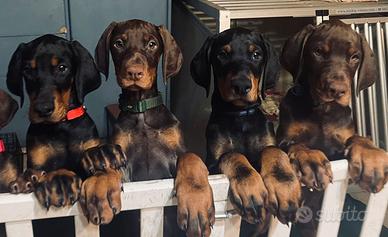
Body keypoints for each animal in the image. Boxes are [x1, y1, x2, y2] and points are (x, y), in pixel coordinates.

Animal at [80, 19, 214, 236]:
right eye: (118, 43)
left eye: (152, 44)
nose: (134, 72)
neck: (141, 109)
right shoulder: (124, 159)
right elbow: (110, 159)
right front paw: (100, 185)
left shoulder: (176, 151)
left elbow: (190, 156)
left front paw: (195, 199)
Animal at [192, 27, 302, 235]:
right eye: (222, 54)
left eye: (256, 54)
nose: (241, 85)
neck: (239, 115)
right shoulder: (212, 165)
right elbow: (232, 154)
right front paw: (249, 188)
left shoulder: (268, 143)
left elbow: (272, 150)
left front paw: (283, 184)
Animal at [278, 19, 388, 236]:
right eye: (318, 52)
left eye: (355, 57)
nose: (337, 90)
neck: (322, 109)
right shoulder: (283, 139)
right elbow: (297, 144)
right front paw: (310, 158)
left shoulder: (340, 144)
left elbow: (357, 138)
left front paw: (371, 156)